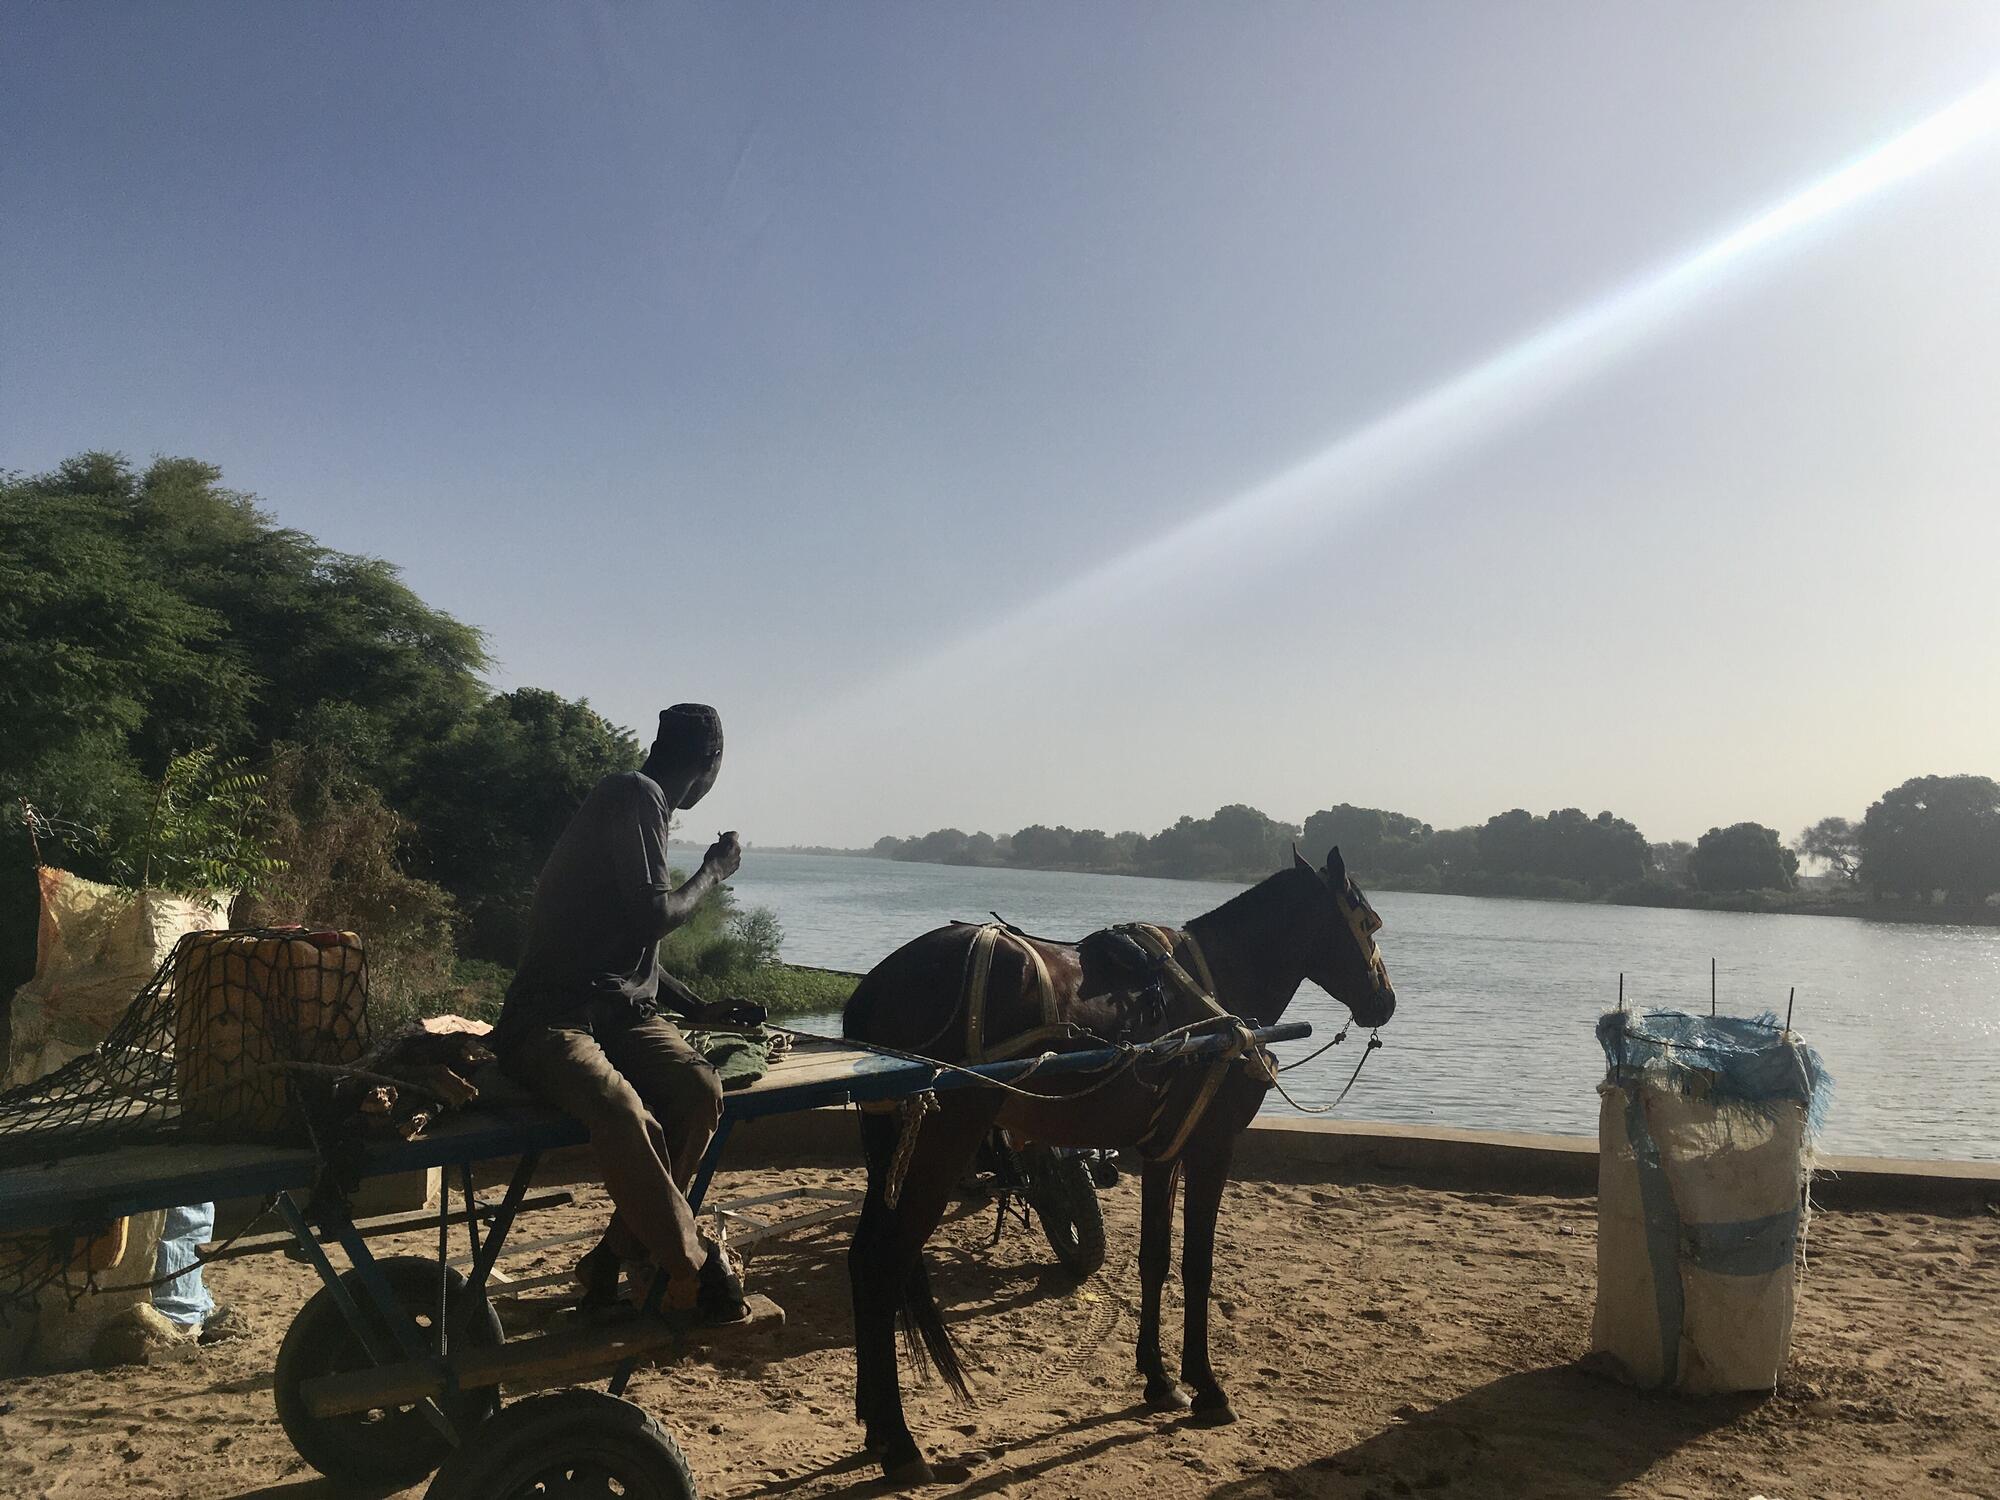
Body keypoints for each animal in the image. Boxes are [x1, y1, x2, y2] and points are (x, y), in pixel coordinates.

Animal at [840, 852, 1392, 1488]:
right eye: (1369, 921)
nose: (1386, 1000)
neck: (1213, 994)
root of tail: (876, 986)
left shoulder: (1162, 1151)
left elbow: (1155, 1258)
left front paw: (1159, 1378)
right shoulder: (1211, 1149)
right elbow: (1197, 1265)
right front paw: (1207, 1385)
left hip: (893, 1146)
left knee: (862, 1258)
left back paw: (876, 1425)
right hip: (940, 1142)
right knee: (884, 1263)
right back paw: (901, 1444)